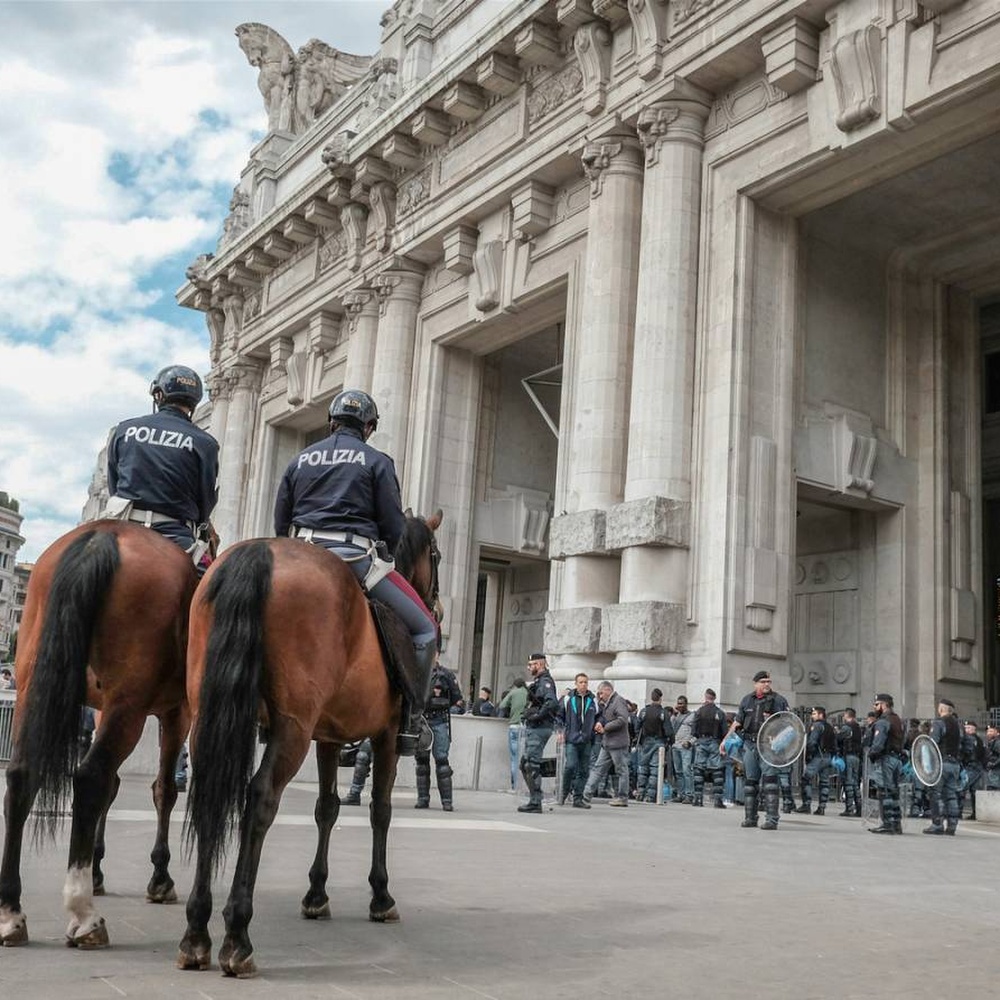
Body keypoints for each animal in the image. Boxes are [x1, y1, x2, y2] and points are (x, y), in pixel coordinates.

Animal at [0, 524, 195, 944]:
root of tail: (103, 534)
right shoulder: (177, 713)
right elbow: (163, 790)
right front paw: (160, 877)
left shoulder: (106, 706)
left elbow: (114, 787)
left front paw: (98, 867)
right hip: (129, 705)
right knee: (89, 777)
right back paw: (83, 911)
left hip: (32, 686)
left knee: (22, 775)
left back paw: (10, 910)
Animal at [177, 512, 442, 980]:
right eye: (437, 555)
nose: (438, 609)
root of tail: (259, 551)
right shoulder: (388, 734)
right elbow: (381, 810)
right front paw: (381, 897)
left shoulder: (329, 736)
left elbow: (327, 808)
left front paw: (316, 894)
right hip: (293, 727)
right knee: (260, 797)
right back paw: (237, 937)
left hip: (211, 712)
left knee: (208, 790)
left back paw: (196, 933)